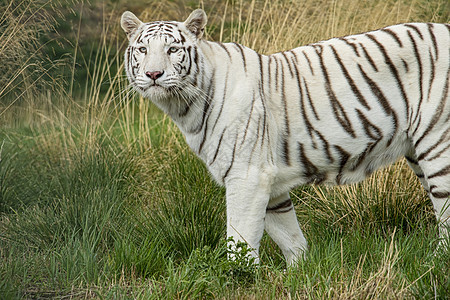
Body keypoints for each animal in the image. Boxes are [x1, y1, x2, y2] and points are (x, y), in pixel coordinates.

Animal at [120, 8, 450, 264]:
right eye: (143, 50)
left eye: (172, 50)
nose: (153, 75)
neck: (183, 107)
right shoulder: (270, 181)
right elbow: (288, 235)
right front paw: (301, 272)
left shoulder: (247, 175)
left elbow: (239, 238)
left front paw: (237, 279)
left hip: (438, 144)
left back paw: (435, 263)